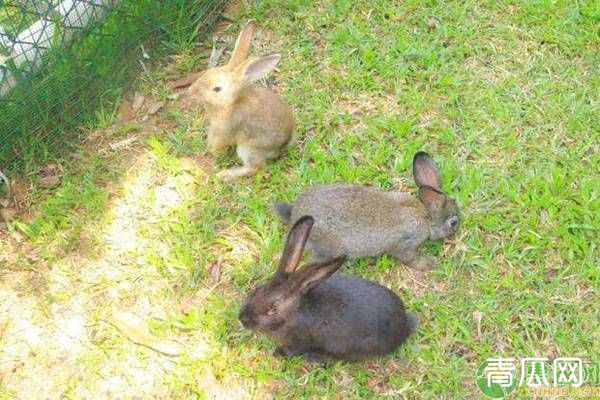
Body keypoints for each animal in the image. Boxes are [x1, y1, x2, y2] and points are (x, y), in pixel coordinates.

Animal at [189, 20, 294, 180]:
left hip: (248, 149)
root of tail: (284, 144)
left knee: (256, 168)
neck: (229, 103)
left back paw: (225, 175)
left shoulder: (223, 130)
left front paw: (214, 153)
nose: (191, 91)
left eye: (217, 89)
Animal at [239, 216, 418, 362]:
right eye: (257, 290)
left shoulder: (300, 341)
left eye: (273, 309)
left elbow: (294, 349)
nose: (242, 318)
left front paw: (279, 353)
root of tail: (405, 325)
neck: (295, 312)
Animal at [276, 152, 460, 270]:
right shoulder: (405, 244)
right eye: (453, 222)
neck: (425, 216)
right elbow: (410, 258)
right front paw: (429, 264)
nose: (457, 230)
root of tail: (294, 217)